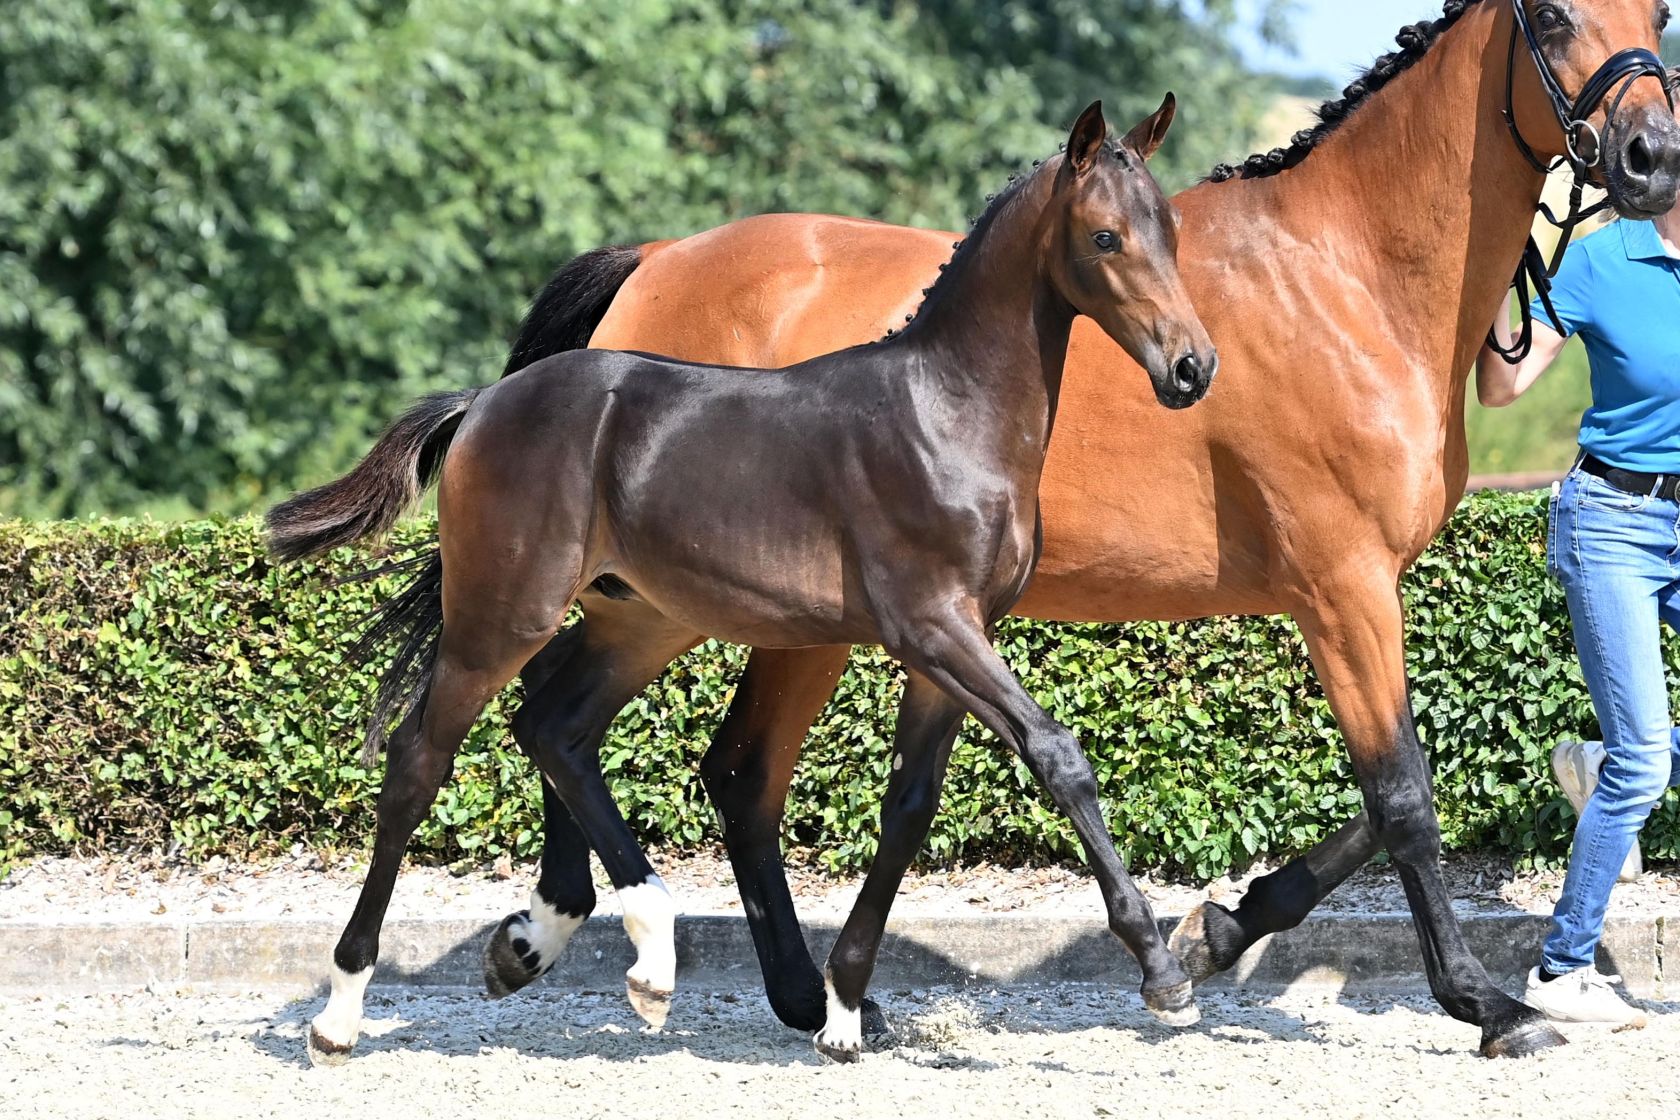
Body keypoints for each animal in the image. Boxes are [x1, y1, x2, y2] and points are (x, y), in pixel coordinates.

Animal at [269, 99, 1216, 1065]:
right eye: (1104, 236)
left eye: (1170, 231)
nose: (1191, 368)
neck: (946, 413)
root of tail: (483, 404)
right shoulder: (933, 627)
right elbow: (1059, 755)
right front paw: (1163, 974)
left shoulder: (956, 641)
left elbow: (909, 806)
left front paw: (843, 1008)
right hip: (501, 615)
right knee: (420, 760)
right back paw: (342, 1010)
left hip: (638, 621)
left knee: (554, 725)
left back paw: (627, 951)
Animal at [478, 0, 1680, 1059]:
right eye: (1555, 17)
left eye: (1656, 16)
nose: (1650, 155)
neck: (1344, 277)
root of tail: (656, 260)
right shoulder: (1345, 589)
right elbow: (1404, 797)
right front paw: (1488, 1006)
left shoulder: (1347, 594)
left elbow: (1376, 806)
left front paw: (1218, 931)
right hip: (731, 610)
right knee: (642, 741)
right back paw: (602, 943)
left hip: (712, 609)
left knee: (656, 745)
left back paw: (704, 970)